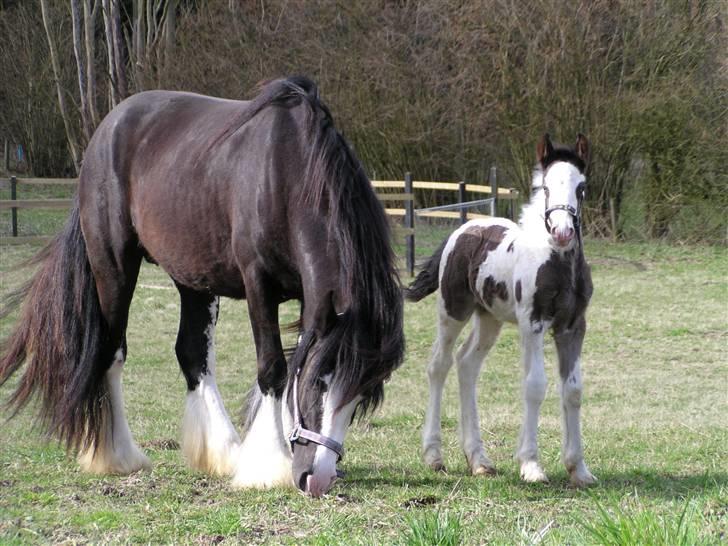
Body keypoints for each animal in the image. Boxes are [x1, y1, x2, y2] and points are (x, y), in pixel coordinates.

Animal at [0, 77, 404, 498]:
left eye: (363, 394)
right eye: (319, 381)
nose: (318, 478)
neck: (287, 175)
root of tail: (107, 129)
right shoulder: (259, 284)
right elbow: (273, 368)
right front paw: (270, 466)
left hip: (193, 277)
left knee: (193, 354)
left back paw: (222, 453)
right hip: (113, 267)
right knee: (112, 352)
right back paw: (117, 456)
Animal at [404, 133, 596, 484]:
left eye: (582, 186)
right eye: (545, 187)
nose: (562, 233)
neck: (555, 260)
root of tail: (461, 231)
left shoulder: (573, 326)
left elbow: (573, 390)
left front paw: (579, 468)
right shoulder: (533, 323)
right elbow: (534, 386)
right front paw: (531, 464)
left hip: (489, 319)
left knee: (467, 365)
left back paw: (479, 459)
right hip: (452, 311)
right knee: (439, 364)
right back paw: (434, 455)